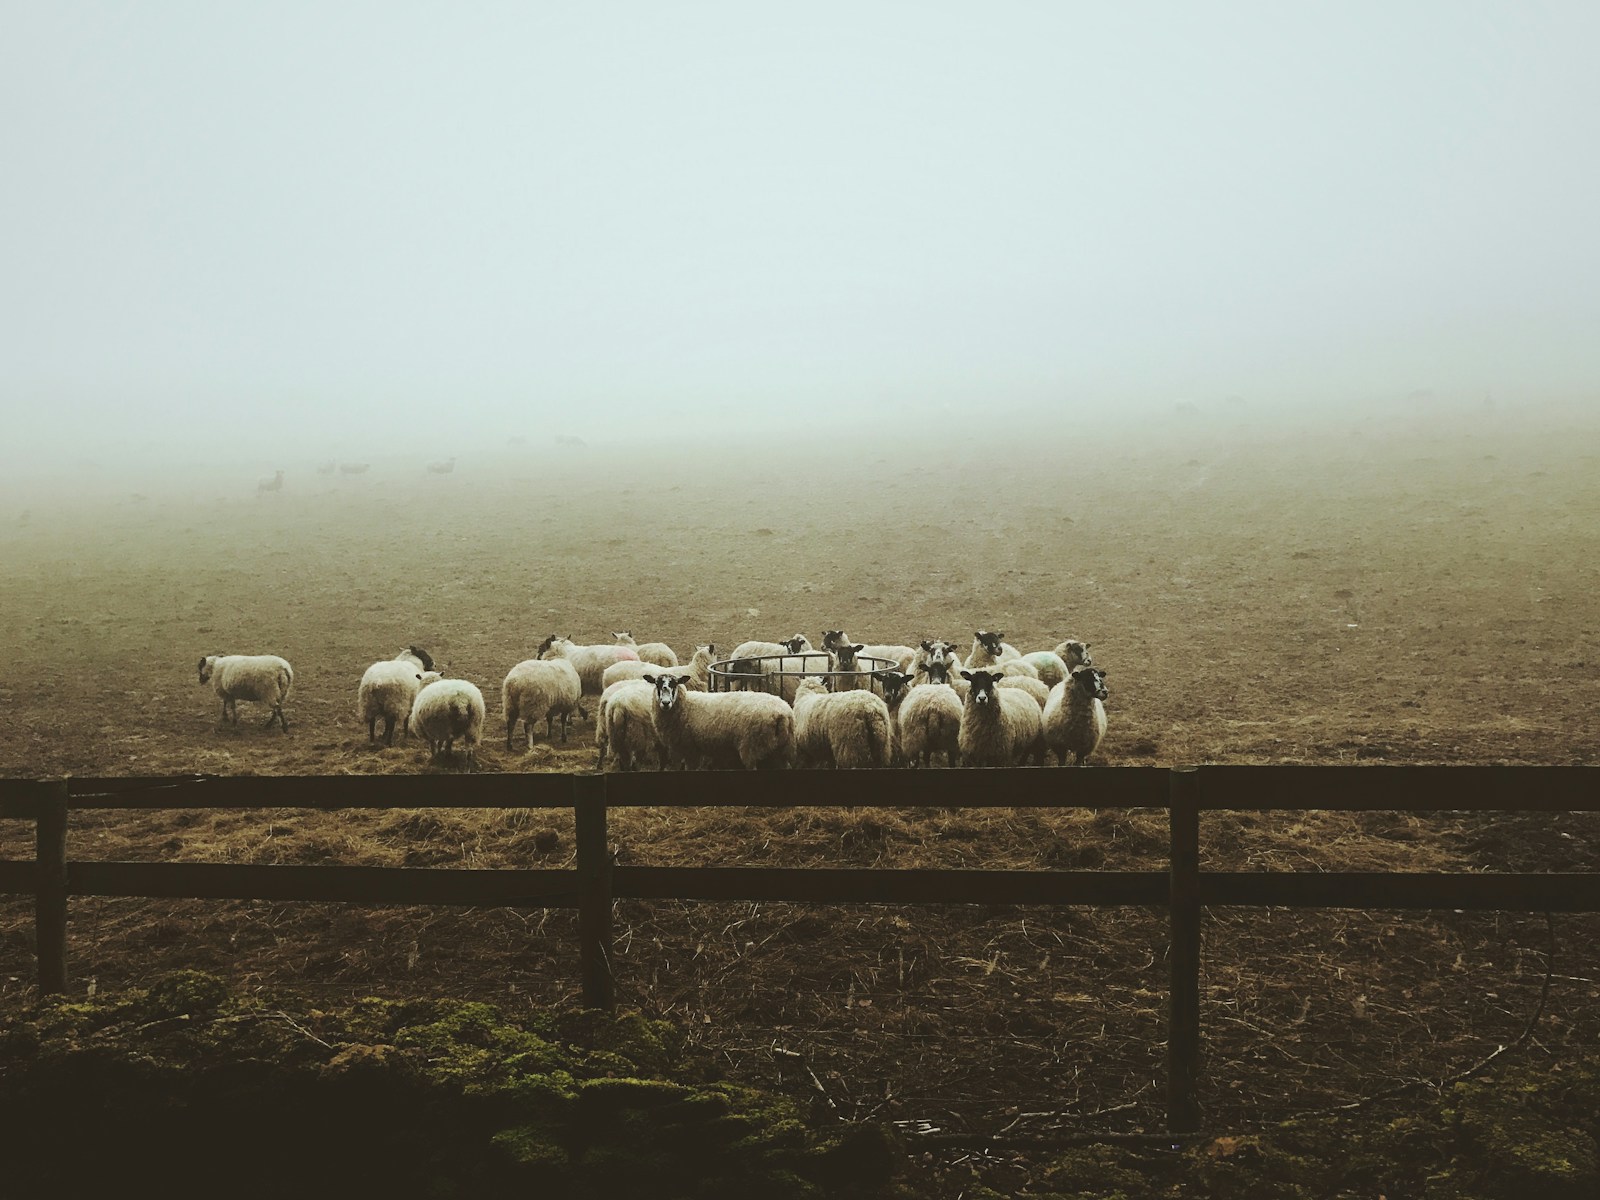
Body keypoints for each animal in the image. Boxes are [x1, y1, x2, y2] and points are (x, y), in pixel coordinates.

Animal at [643, 672, 793, 774]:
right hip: (782, 748)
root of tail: (782, 714)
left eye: (674, 684)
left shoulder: (690, 748)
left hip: (752, 747)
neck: (685, 705)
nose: (665, 703)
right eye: (657, 684)